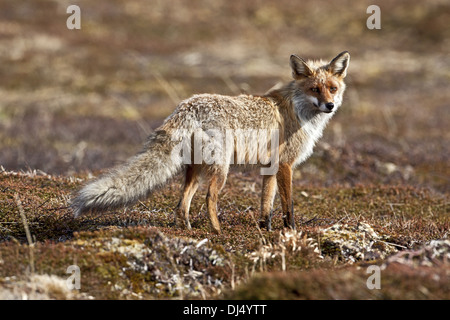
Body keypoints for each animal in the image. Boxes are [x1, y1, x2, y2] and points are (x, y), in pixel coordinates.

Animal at [72, 51, 350, 234]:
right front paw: (291, 232)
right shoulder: (285, 165)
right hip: (221, 169)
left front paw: (265, 231)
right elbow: (288, 205)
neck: (298, 111)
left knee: (182, 203)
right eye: (315, 89)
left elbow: (266, 203)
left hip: (195, 171)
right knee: (208, 199)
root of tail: (186, 106)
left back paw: (187, 230)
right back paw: (217, 232)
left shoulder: (270, 168)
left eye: (333, 88)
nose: (330, 105)